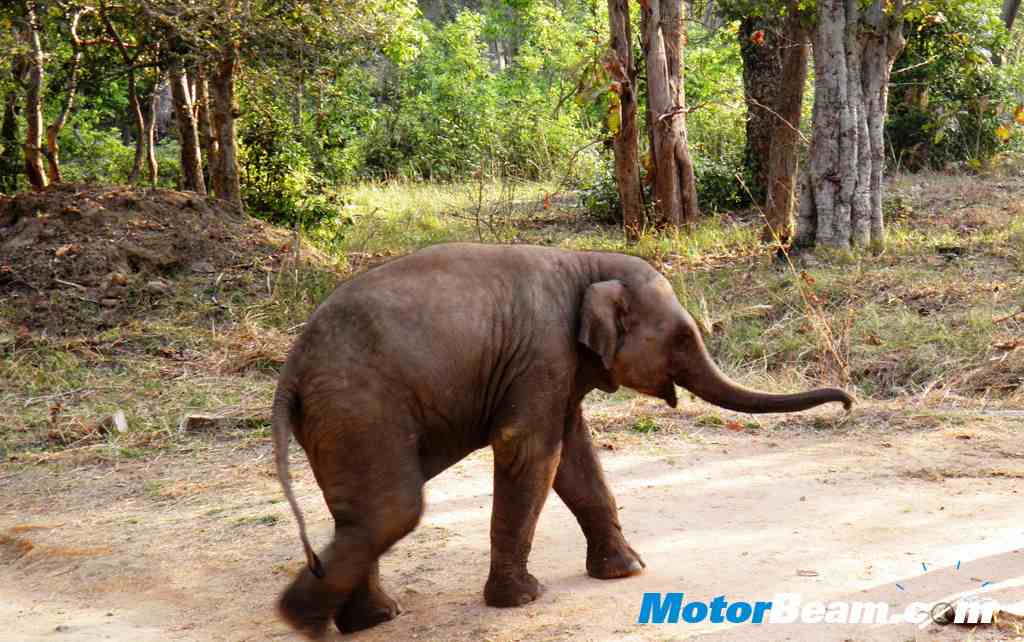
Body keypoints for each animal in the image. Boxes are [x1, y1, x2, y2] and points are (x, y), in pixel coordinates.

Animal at [272, 242, 852, 637]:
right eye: (683, 337)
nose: (847, 403)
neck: (584, 262)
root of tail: (292, 367)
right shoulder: (542, 355)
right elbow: (531, 450)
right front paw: (523, 600)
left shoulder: (561, 367)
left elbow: (575, 456)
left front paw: (627, 572)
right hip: (360, 409)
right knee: (392, 509)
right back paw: (300, 619)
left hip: (339, 420)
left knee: (364, 514)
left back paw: (366, 619)